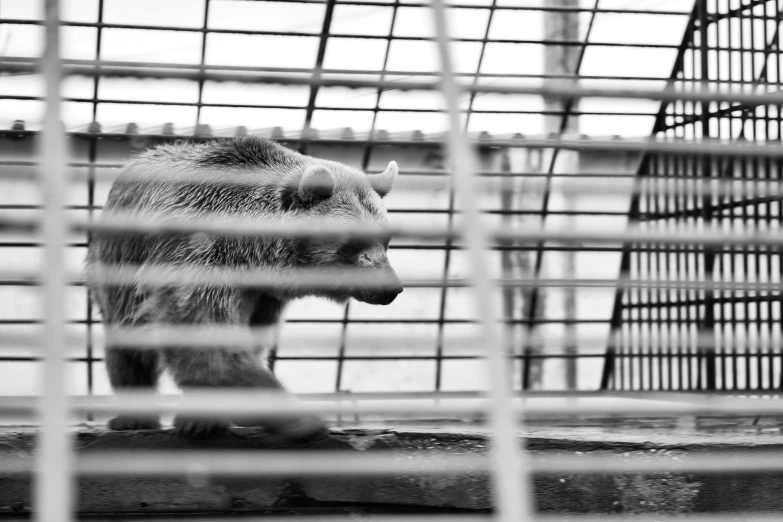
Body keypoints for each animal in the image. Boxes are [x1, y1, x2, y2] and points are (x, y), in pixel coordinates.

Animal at [86, 134, 404, 438]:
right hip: (115, 269)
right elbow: (204, 337)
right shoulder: (197, 251)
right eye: (352, 243)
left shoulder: (264, 298)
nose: (391, 288)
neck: (253, 253)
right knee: (127, 344)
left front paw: (204, 416)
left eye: (386, 240)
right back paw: (133, 416)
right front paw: (299, 418)